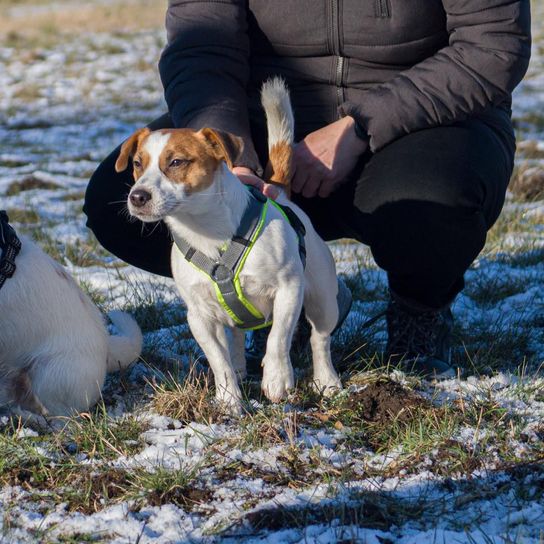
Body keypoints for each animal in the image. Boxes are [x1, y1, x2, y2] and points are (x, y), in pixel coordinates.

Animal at [118, 78, 340, 414]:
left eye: (176, 162)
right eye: (137, 164)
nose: (137, 196)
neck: (207, 232)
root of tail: (277, 191)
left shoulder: (289, 290)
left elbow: (278, 337)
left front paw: (276, 378)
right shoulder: (198, 316)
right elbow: (217, 359)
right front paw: (228, 397)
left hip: (323, 298)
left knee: (320, 339)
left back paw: (327, 381)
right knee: (235, 336)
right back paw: (238, 368)